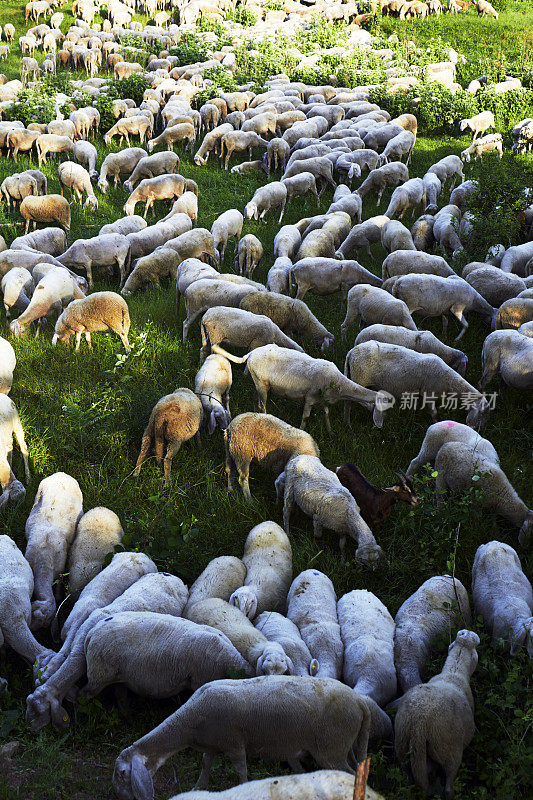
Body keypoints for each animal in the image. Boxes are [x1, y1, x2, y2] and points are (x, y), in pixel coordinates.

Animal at [110, 676, 372, 792]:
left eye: (122, 774)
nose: (118, 797)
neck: (190, 722)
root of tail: (360, 701)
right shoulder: (213, 745)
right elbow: (206, 764)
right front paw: (198, 788)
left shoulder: (235, 744)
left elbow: (241, 771)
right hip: (344, 746)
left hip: (331, 748)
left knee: (350, 774)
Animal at [344, 340, 490, 428]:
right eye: (483, 413)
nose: (481, 430)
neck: (448, 380)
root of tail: (351, 352)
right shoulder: (429, 394)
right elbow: (434, 413)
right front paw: (436, 424)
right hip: (359, 379)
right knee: (349, 401)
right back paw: (348, 423)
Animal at [392, 632, 480, 800]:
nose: (466, 633)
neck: (453, 673)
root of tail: (419, 724)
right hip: (449, 750)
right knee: (448, 784)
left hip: (401, 745)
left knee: (406, 779)